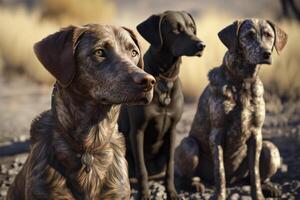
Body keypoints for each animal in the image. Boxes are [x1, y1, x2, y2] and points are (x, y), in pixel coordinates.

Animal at [118, 10, 205, 200]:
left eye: (192, 28)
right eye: (176, 30)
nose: (202, 45)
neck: (165, 78)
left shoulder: (172, 131)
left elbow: (170, 168)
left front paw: (172, 193)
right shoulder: (138, 130)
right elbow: (142, 169)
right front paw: (144, 195)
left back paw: (194, 184)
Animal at [175, 18, 288, 199]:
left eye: (269, 35)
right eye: (249, 35)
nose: (266, 54)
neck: (243, 82)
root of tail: (233, 182)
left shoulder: (256, 135)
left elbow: (255, 173)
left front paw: (258, 195)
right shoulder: (217, 133)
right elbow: (219, 171)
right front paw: (219, 195)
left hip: (271, 149)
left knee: (255, 174)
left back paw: (269, 188)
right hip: (189, 145)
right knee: (185, 176)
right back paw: (195, 185)